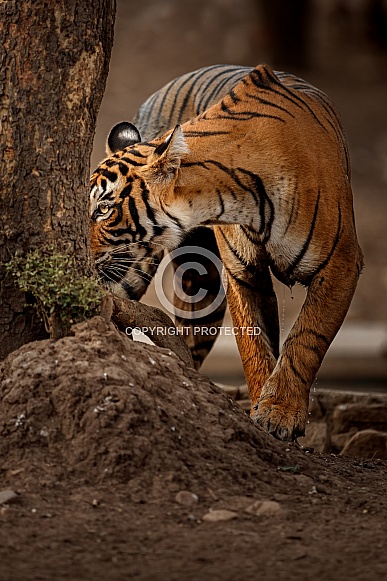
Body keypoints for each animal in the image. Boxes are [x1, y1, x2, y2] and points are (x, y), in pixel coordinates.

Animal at [90, 63, 364, 440]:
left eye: (103, 209)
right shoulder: (243, 273)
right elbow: (254, 344)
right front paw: (264, 411)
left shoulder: (341, 264)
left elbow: (307, 337)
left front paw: (280, 414)